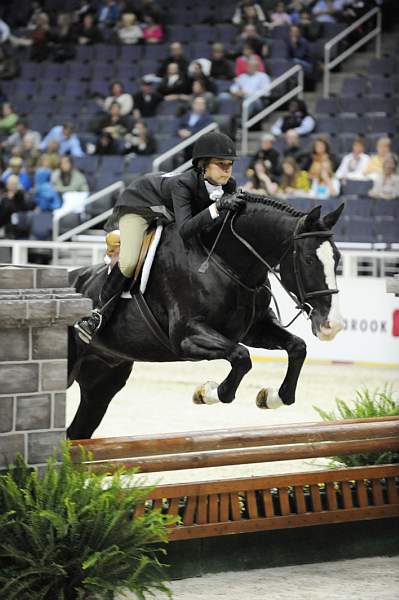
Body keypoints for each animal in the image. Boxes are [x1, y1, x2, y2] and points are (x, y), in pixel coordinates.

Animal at [67, 198, 346, 440]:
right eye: (308, 259)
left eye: (337, 259)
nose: (332, 326)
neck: (226, 263)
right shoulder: (187, 337)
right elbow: (240, 358)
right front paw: (205, 392)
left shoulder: (254, 329)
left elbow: (297, 347)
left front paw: (271, 397)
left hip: (104, 378)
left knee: (77, 432)